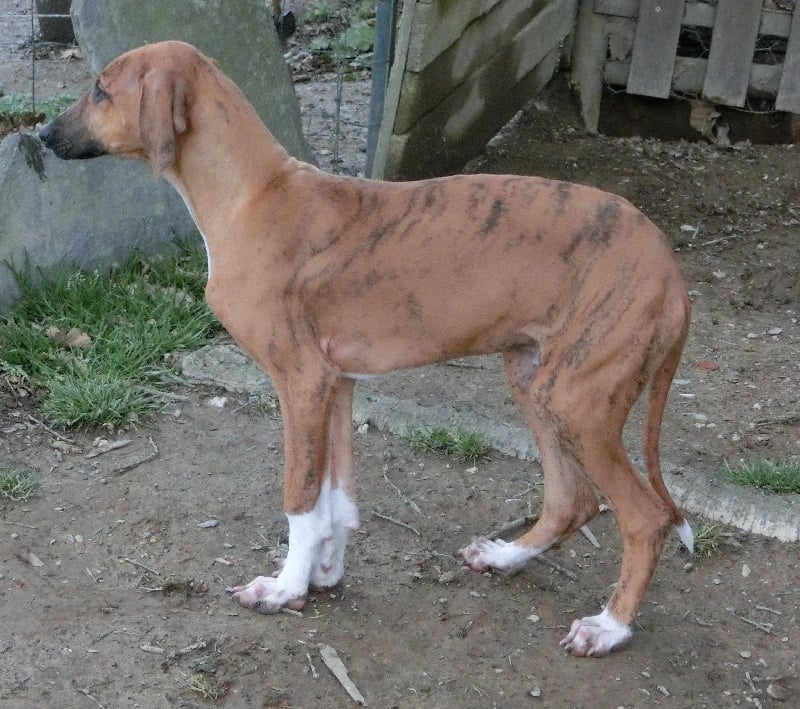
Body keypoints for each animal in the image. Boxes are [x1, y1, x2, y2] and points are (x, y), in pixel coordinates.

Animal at [39, 41, 693, 657]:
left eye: (100, 89)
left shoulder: (300, 382)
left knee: (646, 517)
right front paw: (325, 571)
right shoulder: (338, 383)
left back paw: (608, 628)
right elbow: (336, 498)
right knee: (570, 500)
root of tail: (671, 272)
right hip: (534, 380)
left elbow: (300, 497)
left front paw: (285, 587)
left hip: (577, 401)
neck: (254, 195)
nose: (41, 136)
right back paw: (505, 558)